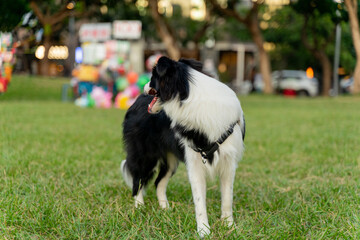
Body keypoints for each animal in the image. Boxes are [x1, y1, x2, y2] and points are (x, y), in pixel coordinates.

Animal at [121, 56, 245, 238]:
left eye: (152, 77)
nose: (143, 88)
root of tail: (136, 102)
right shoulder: (195, 164)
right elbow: (199, 201)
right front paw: (204, 231)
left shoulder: (228, 162)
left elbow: (227, 197)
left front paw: (229, 226)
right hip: (144, 155)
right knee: (138, 179)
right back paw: (139, 207)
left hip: (171, 161)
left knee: (159, 182)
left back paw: (165, 209)